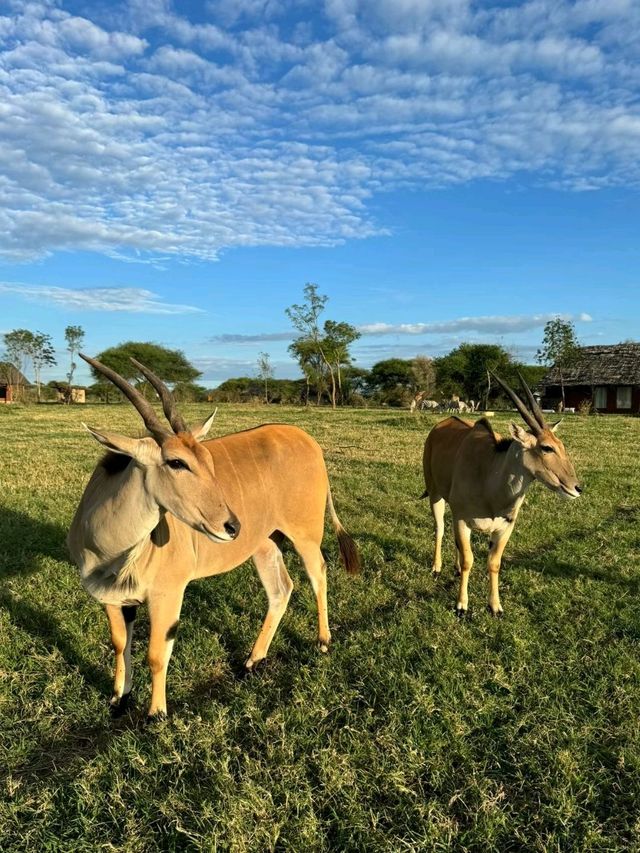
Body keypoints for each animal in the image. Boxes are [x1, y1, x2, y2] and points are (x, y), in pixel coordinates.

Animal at [70, 352, 362, 720]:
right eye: (176, 462)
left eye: (207, 458)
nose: (231, 526)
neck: (109, 550)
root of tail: (308, 440)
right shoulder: (114, 598)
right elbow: (121, 644)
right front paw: (119, 699)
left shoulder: (168, 593)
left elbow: (156, 654)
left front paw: (156, 713)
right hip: (266, 544)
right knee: (281, 590)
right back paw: (253, 660)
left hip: (305, 535)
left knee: (318, 573)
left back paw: (323, 641)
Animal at [422, 372, 584, 612]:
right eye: (546, 447)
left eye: (561, 445)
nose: (576, 487)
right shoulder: (462, 520)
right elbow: (469, 560)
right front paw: (461, 605)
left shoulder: (504, 528)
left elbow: (494, 563)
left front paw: (495, 606)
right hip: (436, 495)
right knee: (440, 529)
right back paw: (436, 567)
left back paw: (455, 568)